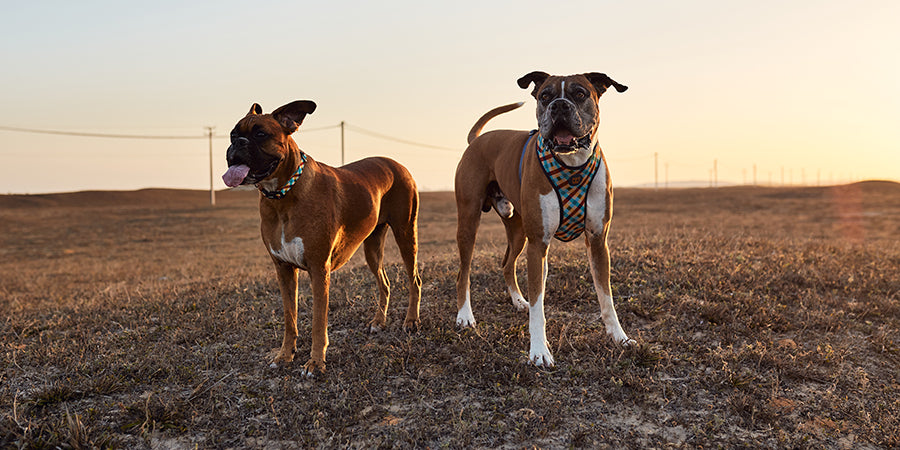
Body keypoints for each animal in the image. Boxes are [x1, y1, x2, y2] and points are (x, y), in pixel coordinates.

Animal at [225, 99, 422, 376]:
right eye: (233, 134)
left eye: (260, 134)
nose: (238, 143)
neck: (283, 196)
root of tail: (397, 164)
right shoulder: (283, 269)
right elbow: (290, 318)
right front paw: (285, 355)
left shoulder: (319, 269)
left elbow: (319, 322)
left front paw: (316, 363)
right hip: (372, 247)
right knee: (384, 282)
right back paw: (378, 322)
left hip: (406, 233)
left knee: (415, 279)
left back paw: (411, 321)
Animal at [458, 70, 632, 366]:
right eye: (545, 96)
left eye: (580, 93)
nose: (559, 106)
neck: (572, 165)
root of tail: (477, 140)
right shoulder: (538, 244)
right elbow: (538, 306)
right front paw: (539, 351)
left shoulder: (598, 241)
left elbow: (606, 296)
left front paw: (619, 337)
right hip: (469, 221)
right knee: (464, 272)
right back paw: (464, 316)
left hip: (518, 230)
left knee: (506, 264)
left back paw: (518, 301)